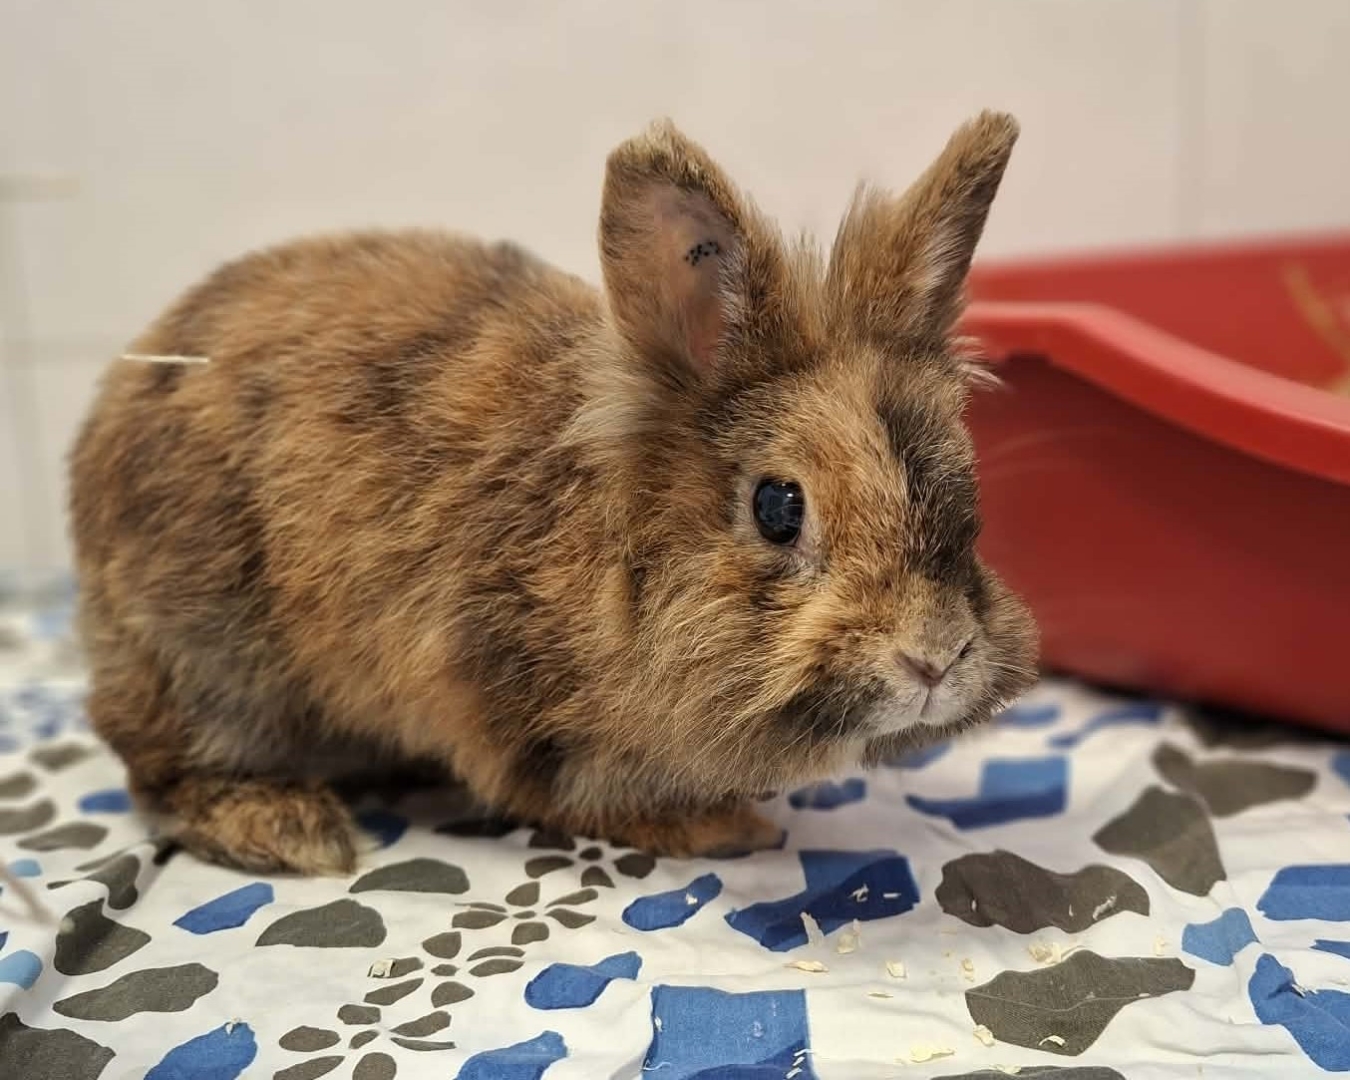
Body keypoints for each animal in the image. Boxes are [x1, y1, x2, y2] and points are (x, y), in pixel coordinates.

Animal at [68, 111, 1038, 875]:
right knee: (158, 767)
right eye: (778, 506)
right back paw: (291, 829)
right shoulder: (501, 700)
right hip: (205, 658)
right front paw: (725, 828)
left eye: (968, 487)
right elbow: (575, 794)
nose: (937, 655)